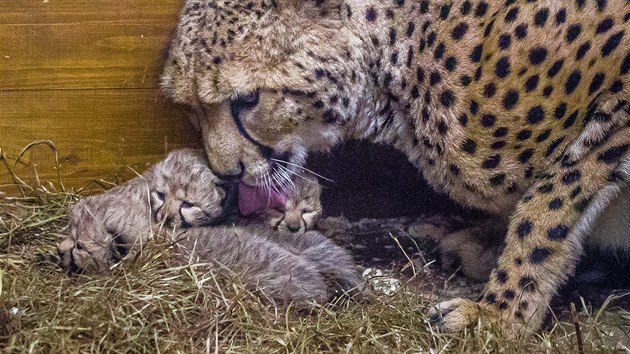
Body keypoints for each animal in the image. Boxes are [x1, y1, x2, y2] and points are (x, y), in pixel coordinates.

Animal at [162, 0, 630, 334]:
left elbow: (547, 210)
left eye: (248, 99)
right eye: (192, 107)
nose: (227, 172)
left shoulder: (617, 99)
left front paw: (500, 316)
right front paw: (489, 246)